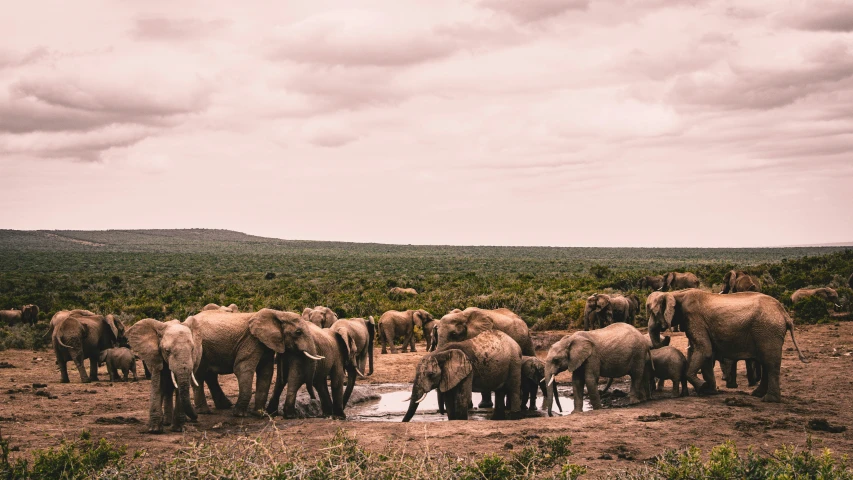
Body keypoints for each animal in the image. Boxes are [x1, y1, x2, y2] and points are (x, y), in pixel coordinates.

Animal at [644, 288, 804, 402]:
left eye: (653, 312)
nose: (667, 336)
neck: (676, 293)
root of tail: (785, 314)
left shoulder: (694, 318)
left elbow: (704, 349)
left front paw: (702, 387)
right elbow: (705, 353)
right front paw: (709, 391)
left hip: (768, 330)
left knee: (770, 362)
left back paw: (769, 400)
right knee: (766, 362)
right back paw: (757, 394)